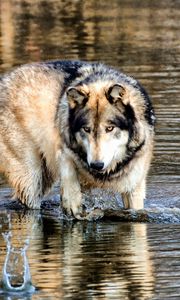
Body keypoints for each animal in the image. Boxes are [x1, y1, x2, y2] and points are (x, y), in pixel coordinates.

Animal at [0, 61, 155, 219]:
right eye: (86, 129)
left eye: (110, 128)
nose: (96, 165)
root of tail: (4, 79)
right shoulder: (63, 147)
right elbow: (69, 171)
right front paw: (72, 203)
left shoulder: (134, 186)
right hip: (32, 180)